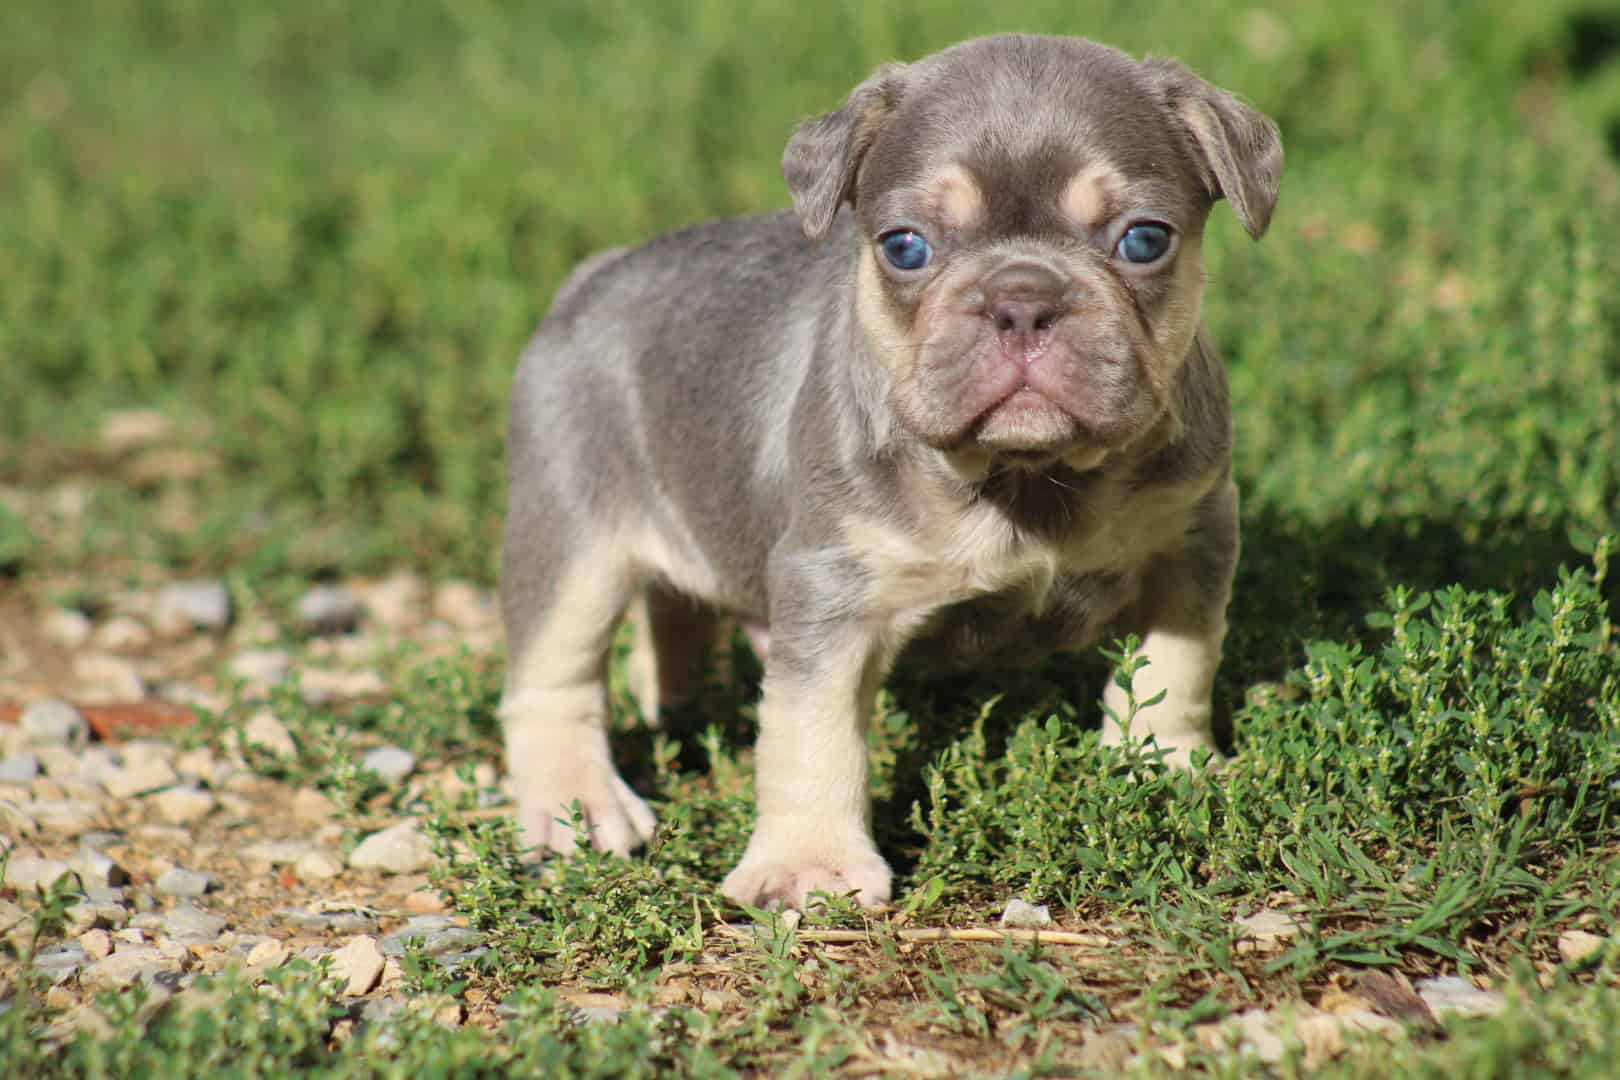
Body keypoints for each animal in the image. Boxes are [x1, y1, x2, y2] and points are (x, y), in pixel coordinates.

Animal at [498, 31, 1283, 913]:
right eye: (905, 246)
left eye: (1145, 240)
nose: (1021, 300)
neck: (1023, 478)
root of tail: (591, 276)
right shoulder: (830, 586)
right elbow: (811, 732)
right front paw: (808, 864)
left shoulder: (1191, 538)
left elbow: (1177, 668)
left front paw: (1167, 771)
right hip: (572, 534)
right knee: (551, 678)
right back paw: (577, 807)